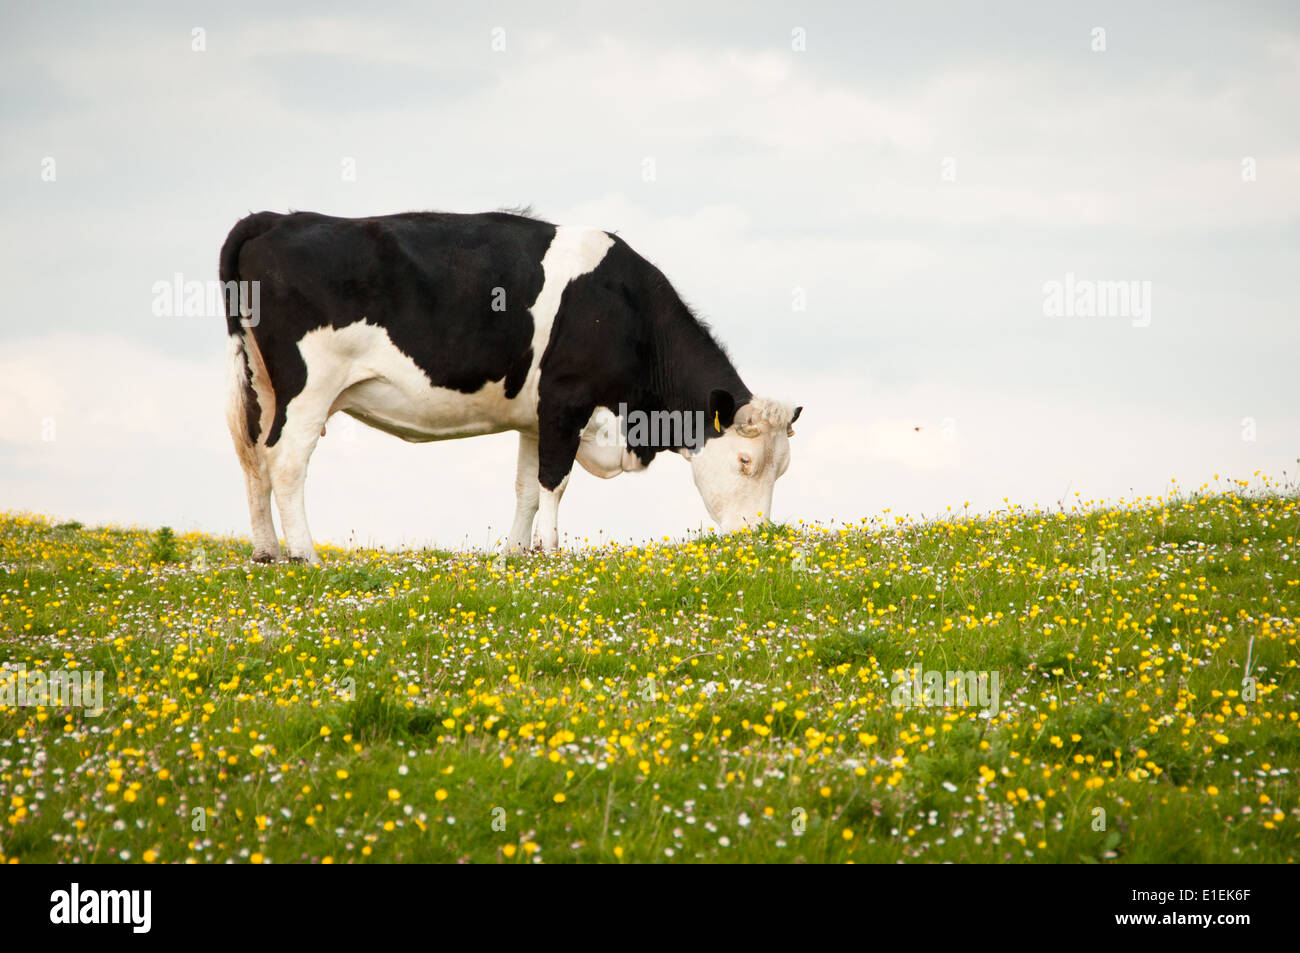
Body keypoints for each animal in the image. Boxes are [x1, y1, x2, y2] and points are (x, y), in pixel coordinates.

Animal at [220, 209, 801, 564]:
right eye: (745, 462)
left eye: (783, 469)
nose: (756, 541)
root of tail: (277, 219)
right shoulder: (565, 401)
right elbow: (554, 481)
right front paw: (549, 552)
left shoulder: (534, 417)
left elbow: (525, 486)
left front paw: (515, 556)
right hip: (309, 387)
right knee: (286, 462)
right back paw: (307, 556)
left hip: (260, 383)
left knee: (252, 457)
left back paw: (267, 553)